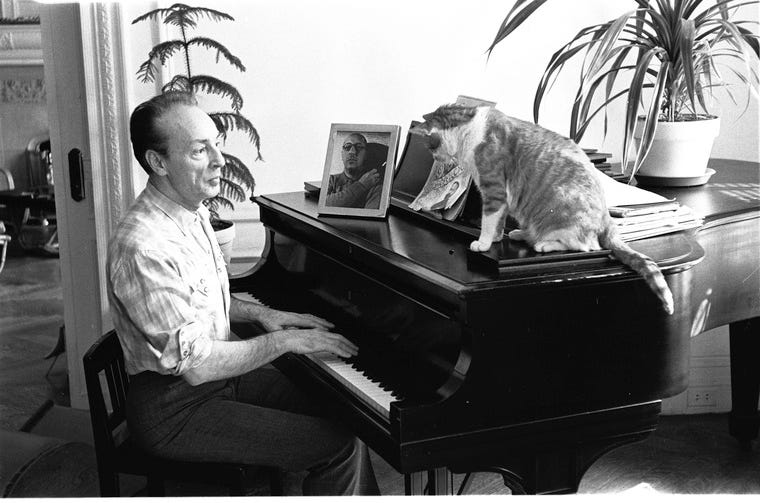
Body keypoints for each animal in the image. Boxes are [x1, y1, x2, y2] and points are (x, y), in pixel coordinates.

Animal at [412, 103, 672, 316]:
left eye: (430, 149)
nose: (437, 160)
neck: (470, 130)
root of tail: (608, 218)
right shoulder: (500, 197)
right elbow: (497, 223)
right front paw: (495, 239)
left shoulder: (493, 190)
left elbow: (488, 221)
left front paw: (483, 243)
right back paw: (520, 234)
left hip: (565, 214)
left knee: (585, 246)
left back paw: (543, 244)